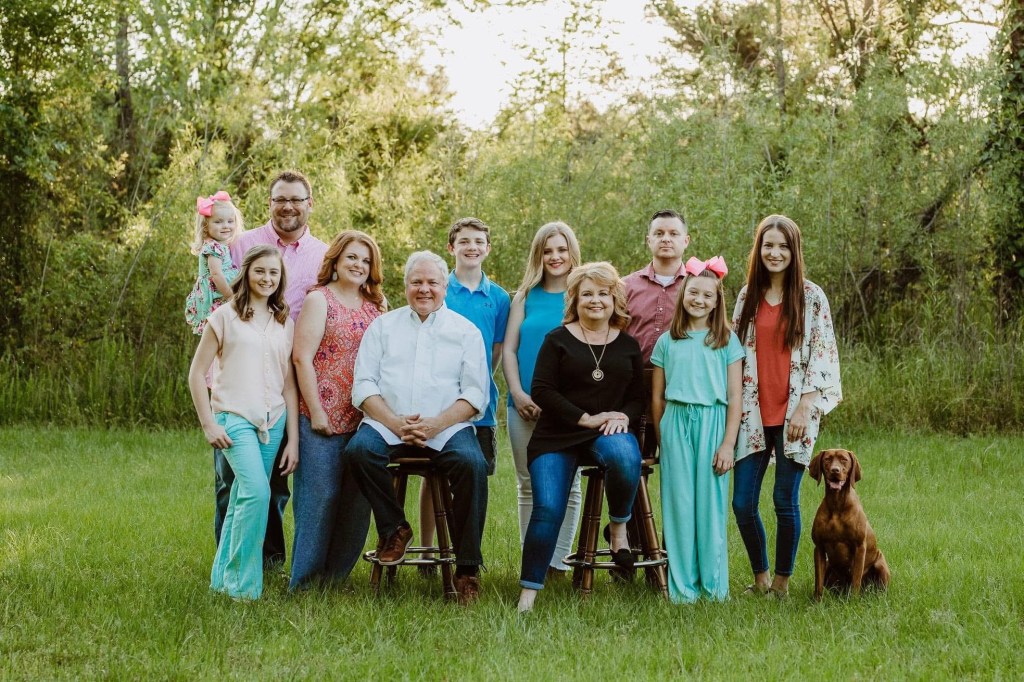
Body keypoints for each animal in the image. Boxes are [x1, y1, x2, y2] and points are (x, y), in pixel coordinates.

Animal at [808, 448, 890, 600]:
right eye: (827, 459)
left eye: (844, 460)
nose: (835, 470)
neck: (836, 505)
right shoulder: (819, 547)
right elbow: (818, 582)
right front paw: (817, 601)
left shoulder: (859, 547)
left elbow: (856, 578)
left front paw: (853, 601)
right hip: (829, 566)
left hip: (880, 563)